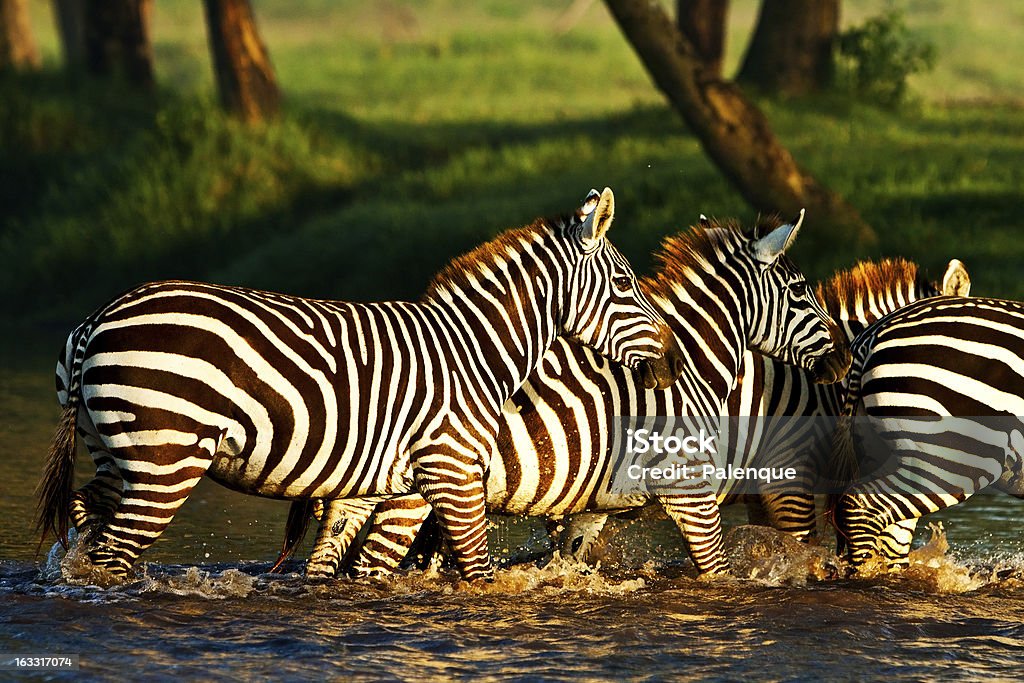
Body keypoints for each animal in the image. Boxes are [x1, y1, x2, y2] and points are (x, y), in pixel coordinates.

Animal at [37, 188, 688, 581]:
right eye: (626, 285)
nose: (671, 362)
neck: (475, 349)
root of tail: (100, 316)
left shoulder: (392, 485)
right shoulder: (451, 470)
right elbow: (477, 571)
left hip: (115, 453)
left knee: (86, 523)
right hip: (165, 461)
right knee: (115, 557)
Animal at [274, 210, 856, 581]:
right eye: (801, 292)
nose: (845, 360)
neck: (693, 368)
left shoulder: (594, 505)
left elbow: (570, 560)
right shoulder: (693, 490)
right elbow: (717, 571)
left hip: (363, 486)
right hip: (415, 492)